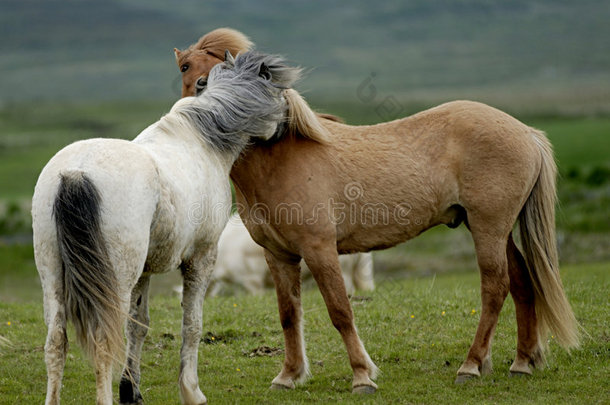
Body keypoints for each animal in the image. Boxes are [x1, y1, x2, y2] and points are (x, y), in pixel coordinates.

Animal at [32, 51, 298, 404]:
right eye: (279, 93)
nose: (285, 129)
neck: (203, 141)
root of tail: (77, 172)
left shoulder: (144, 271)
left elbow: (138, 325)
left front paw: (131, 390)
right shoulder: (201, 258)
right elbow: (192, 324)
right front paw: (191, 390)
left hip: (52, 273)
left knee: (56, 340)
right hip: (115, 280)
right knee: (102, 341)